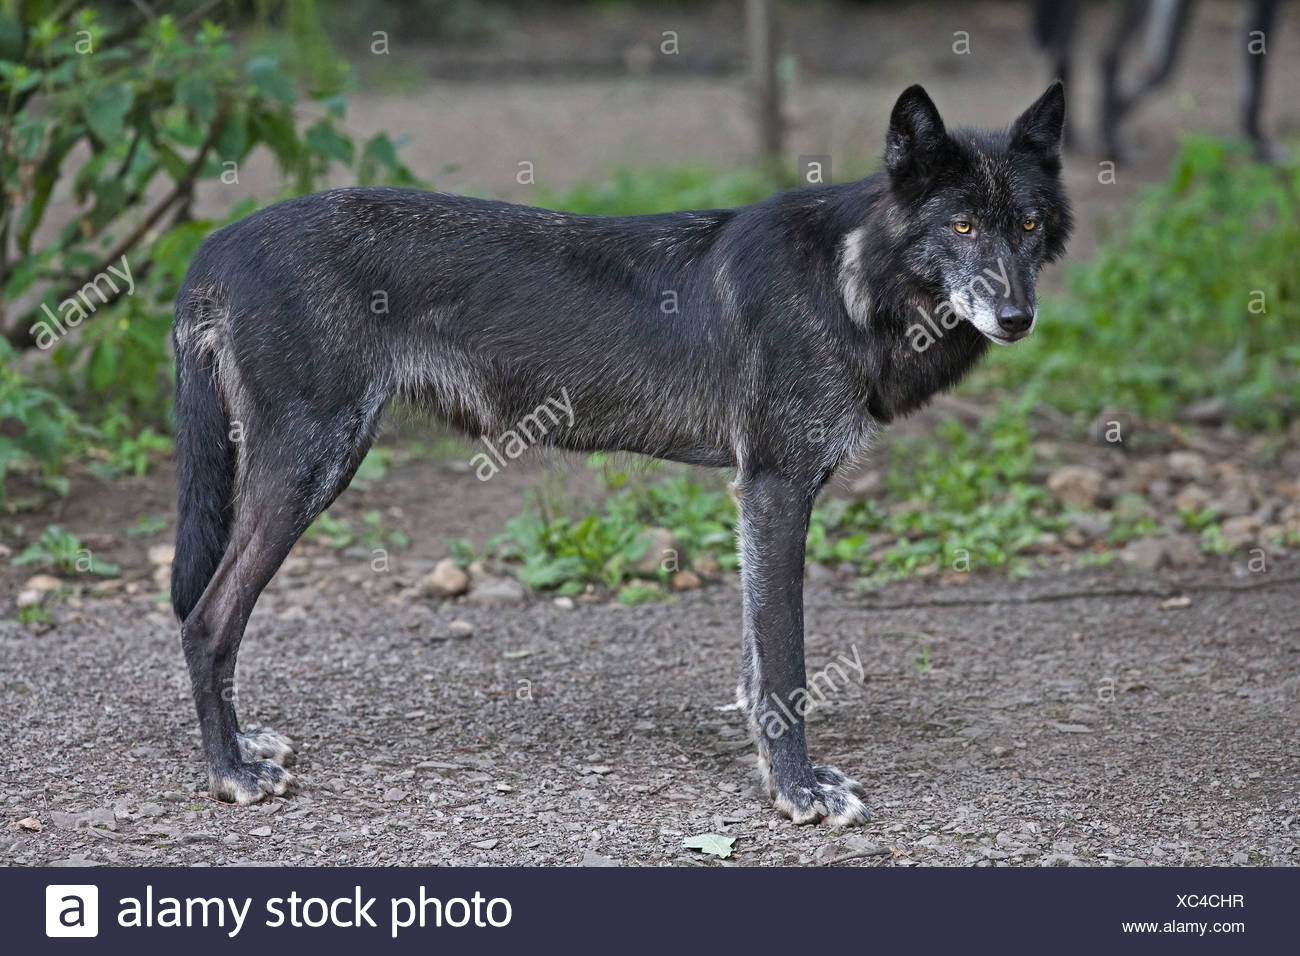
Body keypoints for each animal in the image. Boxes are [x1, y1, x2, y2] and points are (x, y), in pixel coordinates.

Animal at [171, 82, 1070, 825]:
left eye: (1027, 226)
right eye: (961, 225)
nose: (1019, 318)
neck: (849, 277)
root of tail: (218, 244)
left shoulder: (759, 499)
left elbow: (755, 668)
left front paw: (773, 774)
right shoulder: (776, 488)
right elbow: (785, 662)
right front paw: (797, 791)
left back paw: (244, 747)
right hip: (312, 469)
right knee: (207, 617)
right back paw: (229, 774)